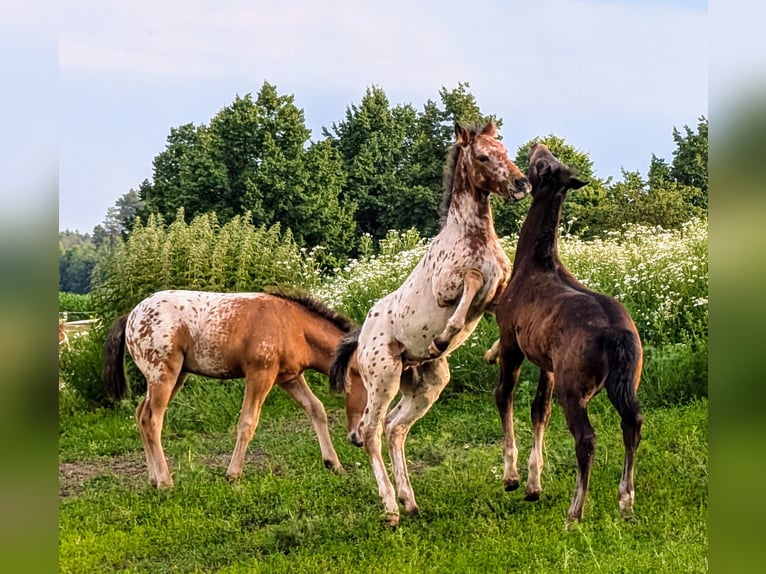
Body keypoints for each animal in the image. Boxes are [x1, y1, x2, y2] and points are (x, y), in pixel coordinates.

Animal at [103, 292, 368, 490]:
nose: (357, 438)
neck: (294, 326)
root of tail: (131, 316)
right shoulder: (260, 373)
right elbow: (248, 422)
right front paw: (233, 474)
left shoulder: (290, 377)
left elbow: (317, 409)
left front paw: (334, 464)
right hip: (163, 374)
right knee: (152, 420)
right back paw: (166, 482)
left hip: (175, 376)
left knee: (140, 414)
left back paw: (153, 479)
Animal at [330, 119, 536, 528]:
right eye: (483, 156)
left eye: (504, 149)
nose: (521, 184)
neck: (474, 236)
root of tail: (361, 337)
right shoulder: (449, 287)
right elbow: (470, 283)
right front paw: (444, 337)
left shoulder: (498, 290)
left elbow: (499, 304)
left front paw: (492, 351)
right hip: (384, 377)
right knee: (370, 431)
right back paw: (391, 508)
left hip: (425, 384)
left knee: (395, 429)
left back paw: (409, 501)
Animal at [492, 144, 640, 528]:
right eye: (552, 161)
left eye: (542, 164)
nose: (538, 146)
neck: (532, 264)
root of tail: (616, 334)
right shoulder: (547, 362)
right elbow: (538, 409)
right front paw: (534, 485)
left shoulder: (511, 343)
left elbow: (504, 397)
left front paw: (512, 478)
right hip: (624, 382)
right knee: (632, 422)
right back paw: (626, 502)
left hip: (573, 389)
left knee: (586, 439)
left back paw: (575, 513)